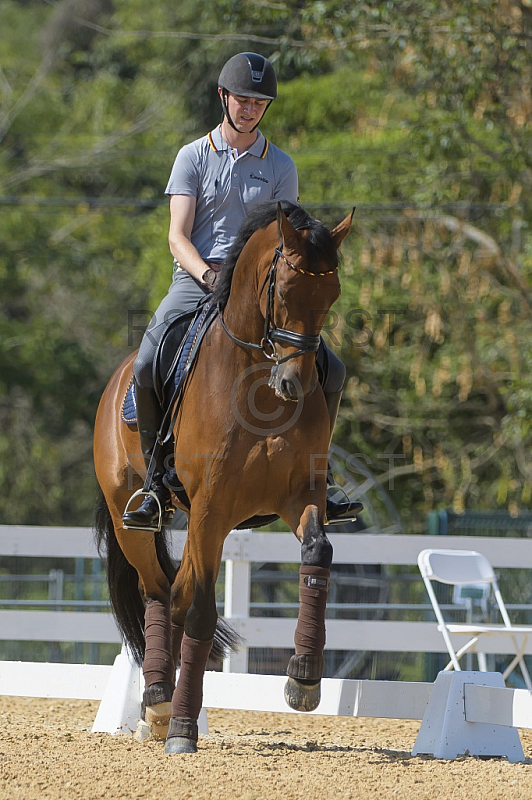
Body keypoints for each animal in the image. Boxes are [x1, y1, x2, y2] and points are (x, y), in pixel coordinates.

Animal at [94, 200, 354, 752]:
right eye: (283, 289)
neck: (258, 387)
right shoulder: (211, 508)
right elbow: (198, 608)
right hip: (140, 518)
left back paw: (160, 705)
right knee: (159, 593)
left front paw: (304, 677)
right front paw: (184, 730)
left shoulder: (299, 496)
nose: (294, 384)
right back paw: (160, 703)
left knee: (173, 592)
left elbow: (317, 553)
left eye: (332, 295)